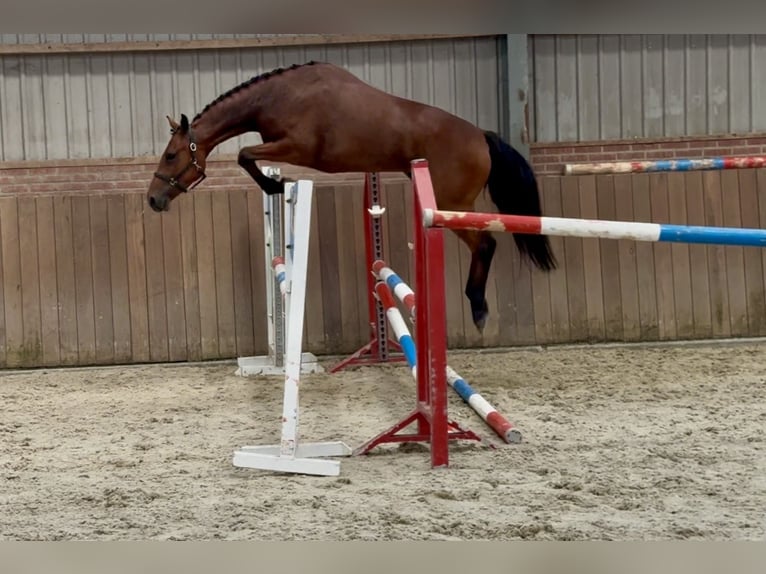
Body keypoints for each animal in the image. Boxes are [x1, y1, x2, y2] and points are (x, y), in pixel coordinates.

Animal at [146, 60, 556, 332]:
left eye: (171, 155)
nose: (152, 200)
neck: (281, 96)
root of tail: (482, 137)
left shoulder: (297, 148)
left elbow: (244, 155)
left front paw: (276, 185)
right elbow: (246, 156)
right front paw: (277, 185)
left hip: (449, 206)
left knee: (485, 243)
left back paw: (478, 308)